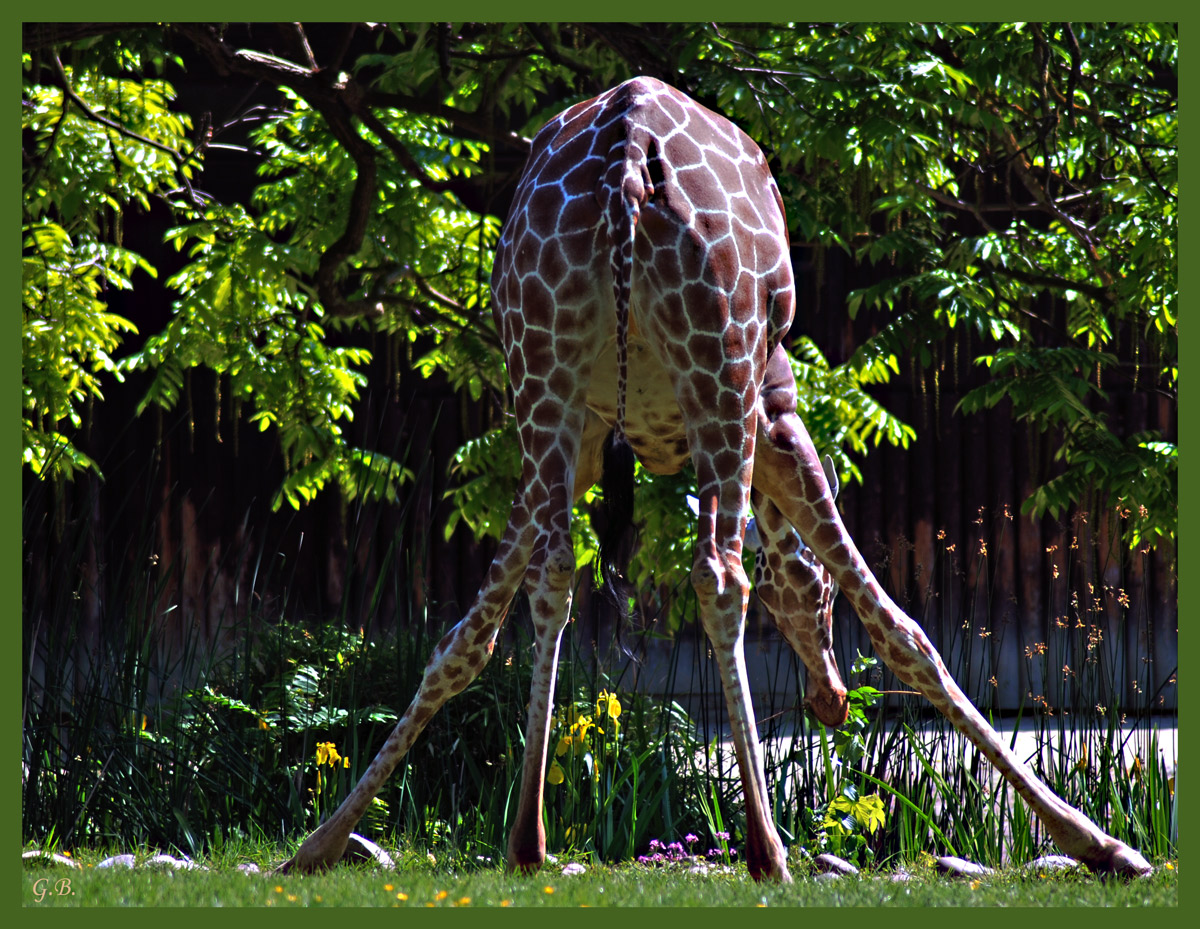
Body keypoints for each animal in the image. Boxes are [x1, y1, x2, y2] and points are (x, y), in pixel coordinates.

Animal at [280, 78, 1152, 878]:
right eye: (816, 602)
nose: (831, 700)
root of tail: (626, 154)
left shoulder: (588, 436)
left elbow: (464, 638)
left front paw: (319, 841)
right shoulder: (776, 407)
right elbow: (903, 630)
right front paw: (1102, 842)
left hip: (542, 371)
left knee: (554, 574)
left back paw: (527, 842)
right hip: (720, 368)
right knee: (719, 573)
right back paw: (768, 849)